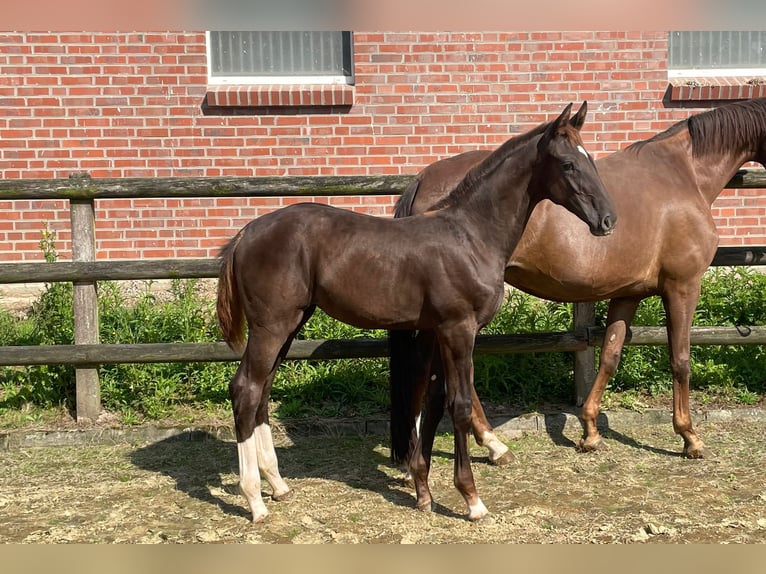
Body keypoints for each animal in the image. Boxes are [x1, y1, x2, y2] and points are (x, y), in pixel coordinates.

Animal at [218, 102, 616, 520]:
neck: (471, 236)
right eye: (569, 164)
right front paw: (471, 498)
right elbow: (458, 406)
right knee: (245, 389)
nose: (607, 220)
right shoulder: (459, 329)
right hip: (272, 326)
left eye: (590, 159)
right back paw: (255, 500)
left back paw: (278, 485)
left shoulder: (434, 331)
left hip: (292, 323)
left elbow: (433, 403)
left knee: (262, 392)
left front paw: (423, 491)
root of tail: (246, 234)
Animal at [392, 95, 766, 472]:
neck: (684, 172)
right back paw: (493, 445)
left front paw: (590, 431)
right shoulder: (682, 286)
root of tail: (422, 179)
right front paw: (690, 437)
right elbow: (680, 359)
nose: (608, 220)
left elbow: (610, 355)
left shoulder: (628, 293)